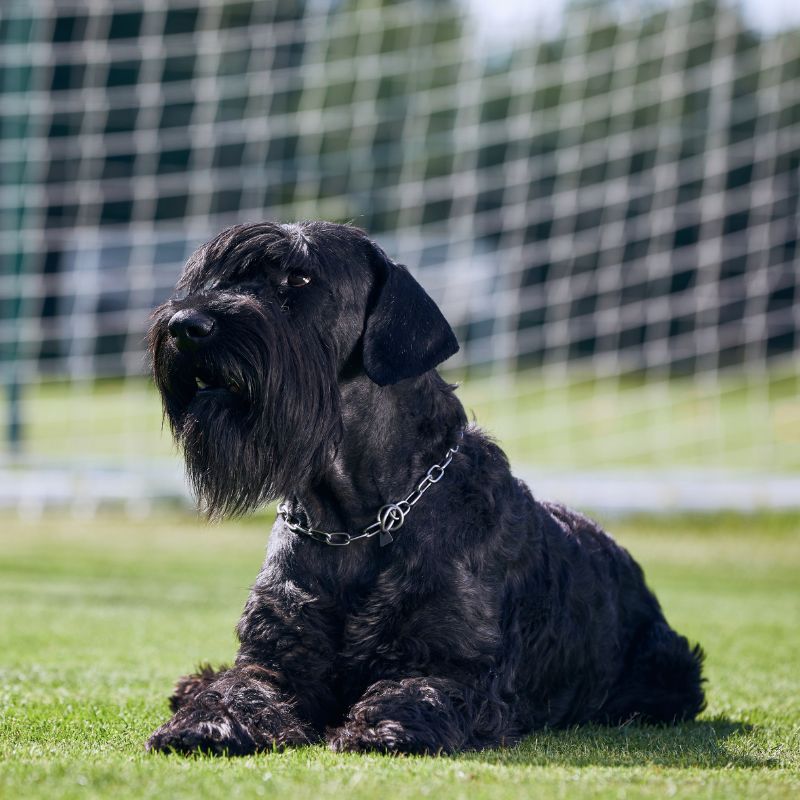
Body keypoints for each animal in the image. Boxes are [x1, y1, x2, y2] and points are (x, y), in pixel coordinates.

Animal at [147, 223, 704, 756]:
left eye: (299, 278)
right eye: (218, 276)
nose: (186, 326)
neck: (354, 519)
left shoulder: (452, 663)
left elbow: (417, 690)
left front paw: (383, 727)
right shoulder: (276, 658)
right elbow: (241, 686)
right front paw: (207, 719)